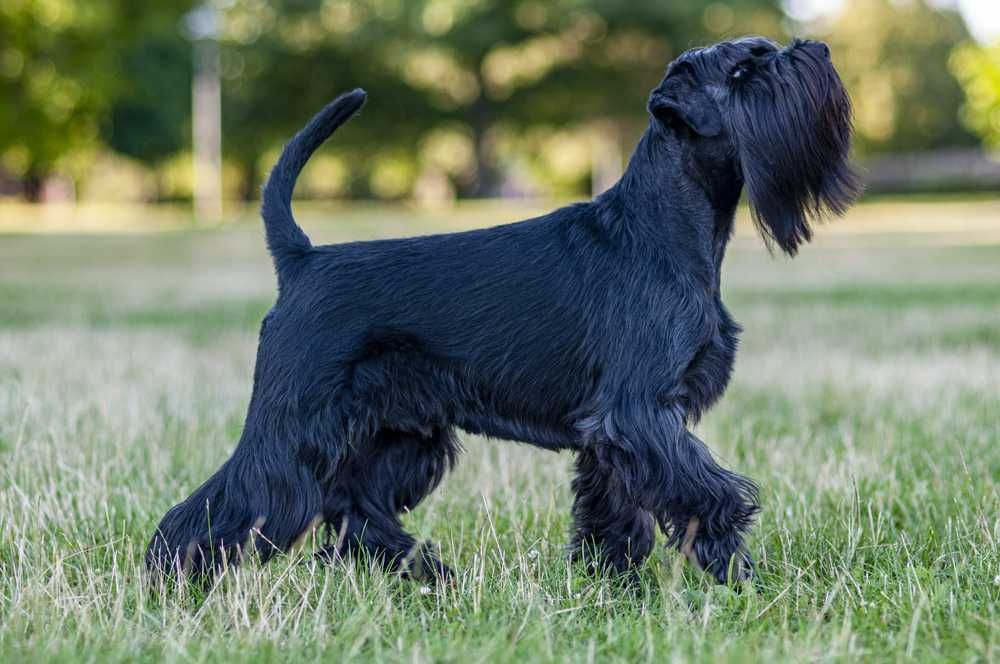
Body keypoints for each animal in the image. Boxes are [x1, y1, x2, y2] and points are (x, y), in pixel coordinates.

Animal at [146, 39, 860, 584]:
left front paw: (612, 585)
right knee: (238, 501)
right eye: (745, 70)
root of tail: (300, 259)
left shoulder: (614, 432)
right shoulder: (638, 412)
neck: (662, 229)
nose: (821, 50)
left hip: (402, 435)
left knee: (354, 506)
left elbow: (616, 513)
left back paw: (425, 572)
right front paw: (741, 578)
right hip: (294, 422)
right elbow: (703, 494)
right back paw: (174, 578)